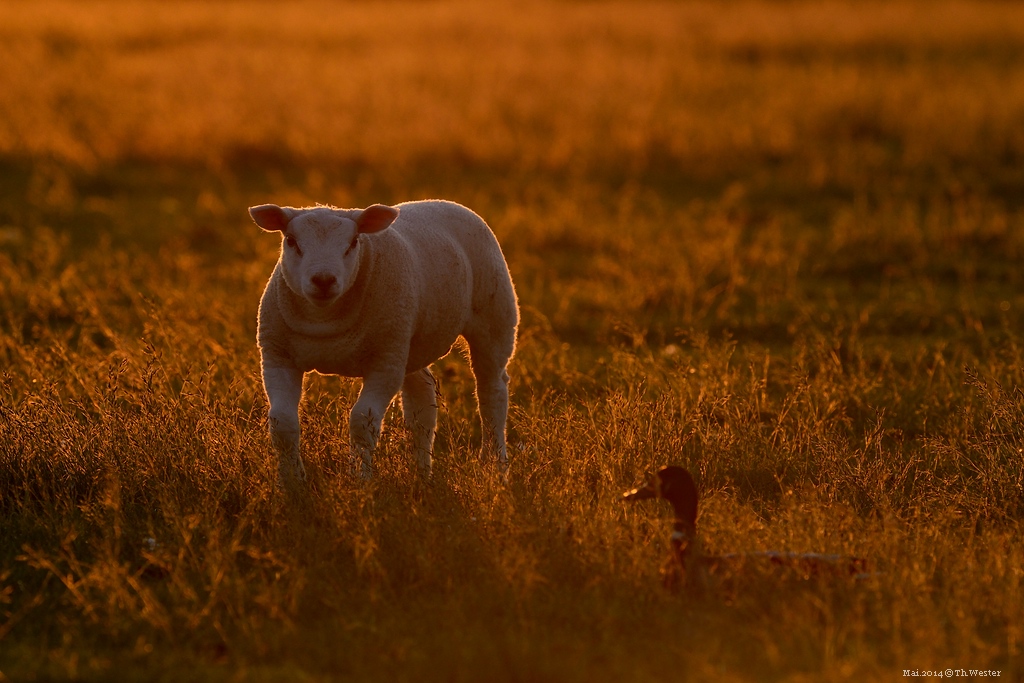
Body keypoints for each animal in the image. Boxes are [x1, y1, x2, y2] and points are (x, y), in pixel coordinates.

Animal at [248, 197, 520, 491]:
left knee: (491, 394)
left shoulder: (385, 364)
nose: (323, 280)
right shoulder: (277, 357)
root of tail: (445, 202)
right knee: (421, 402)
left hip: (494, 317)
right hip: (408, 342)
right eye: (291, 241)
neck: (324, 319)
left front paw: (359, 480)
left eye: (354, 242)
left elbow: (362, 422)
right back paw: (421, 475)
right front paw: (291, 484)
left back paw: (495, 469)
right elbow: (282, 424)